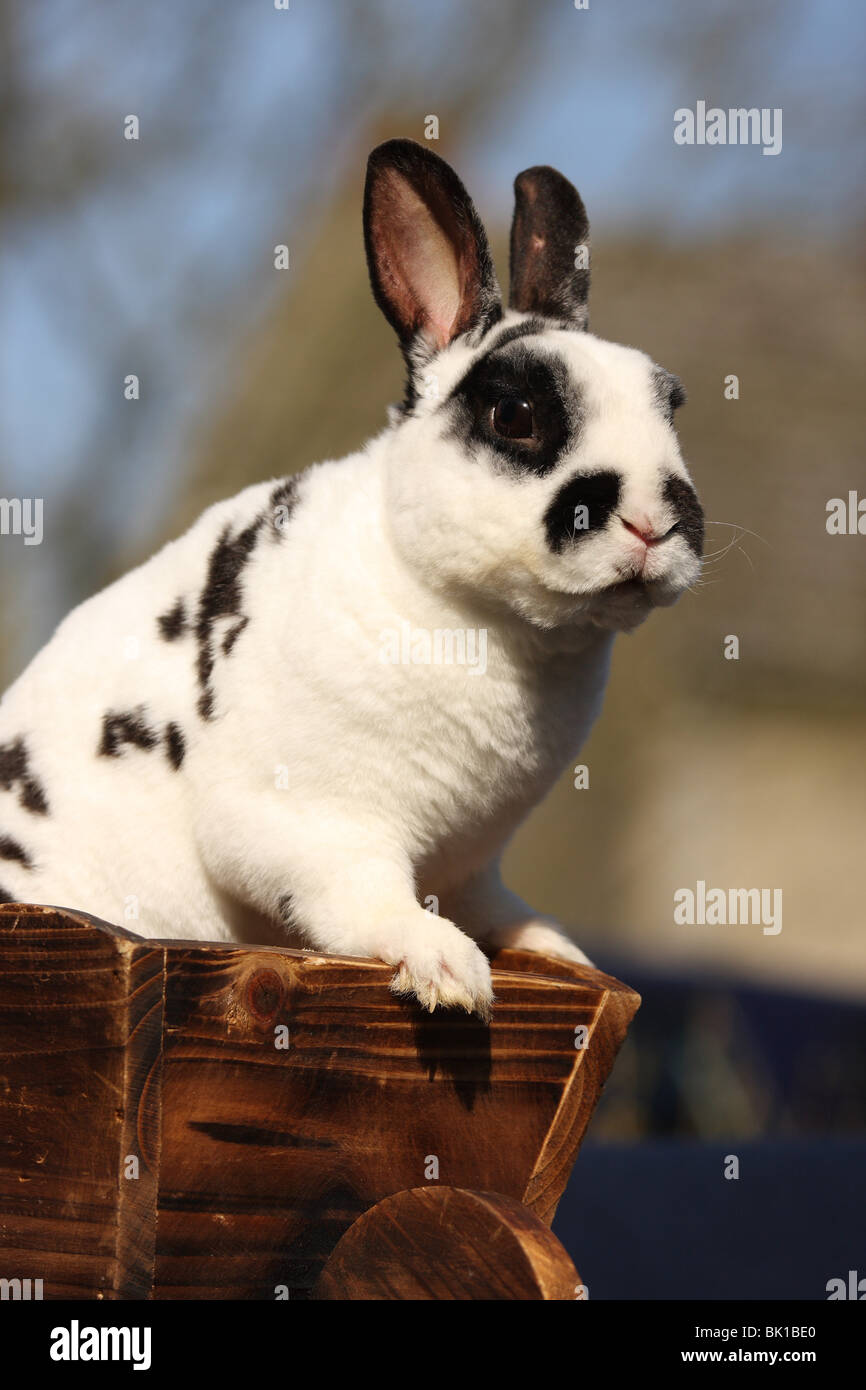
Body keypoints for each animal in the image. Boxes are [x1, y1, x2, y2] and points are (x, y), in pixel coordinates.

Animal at [0, 139, 703, 1020]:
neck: (477, 618)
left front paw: (555, 950)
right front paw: (448, 971)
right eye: (514, 416)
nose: (655, 522)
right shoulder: (312, 822)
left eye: (672, 406)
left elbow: (493, 906)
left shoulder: (473, 863)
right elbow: (363, 896)